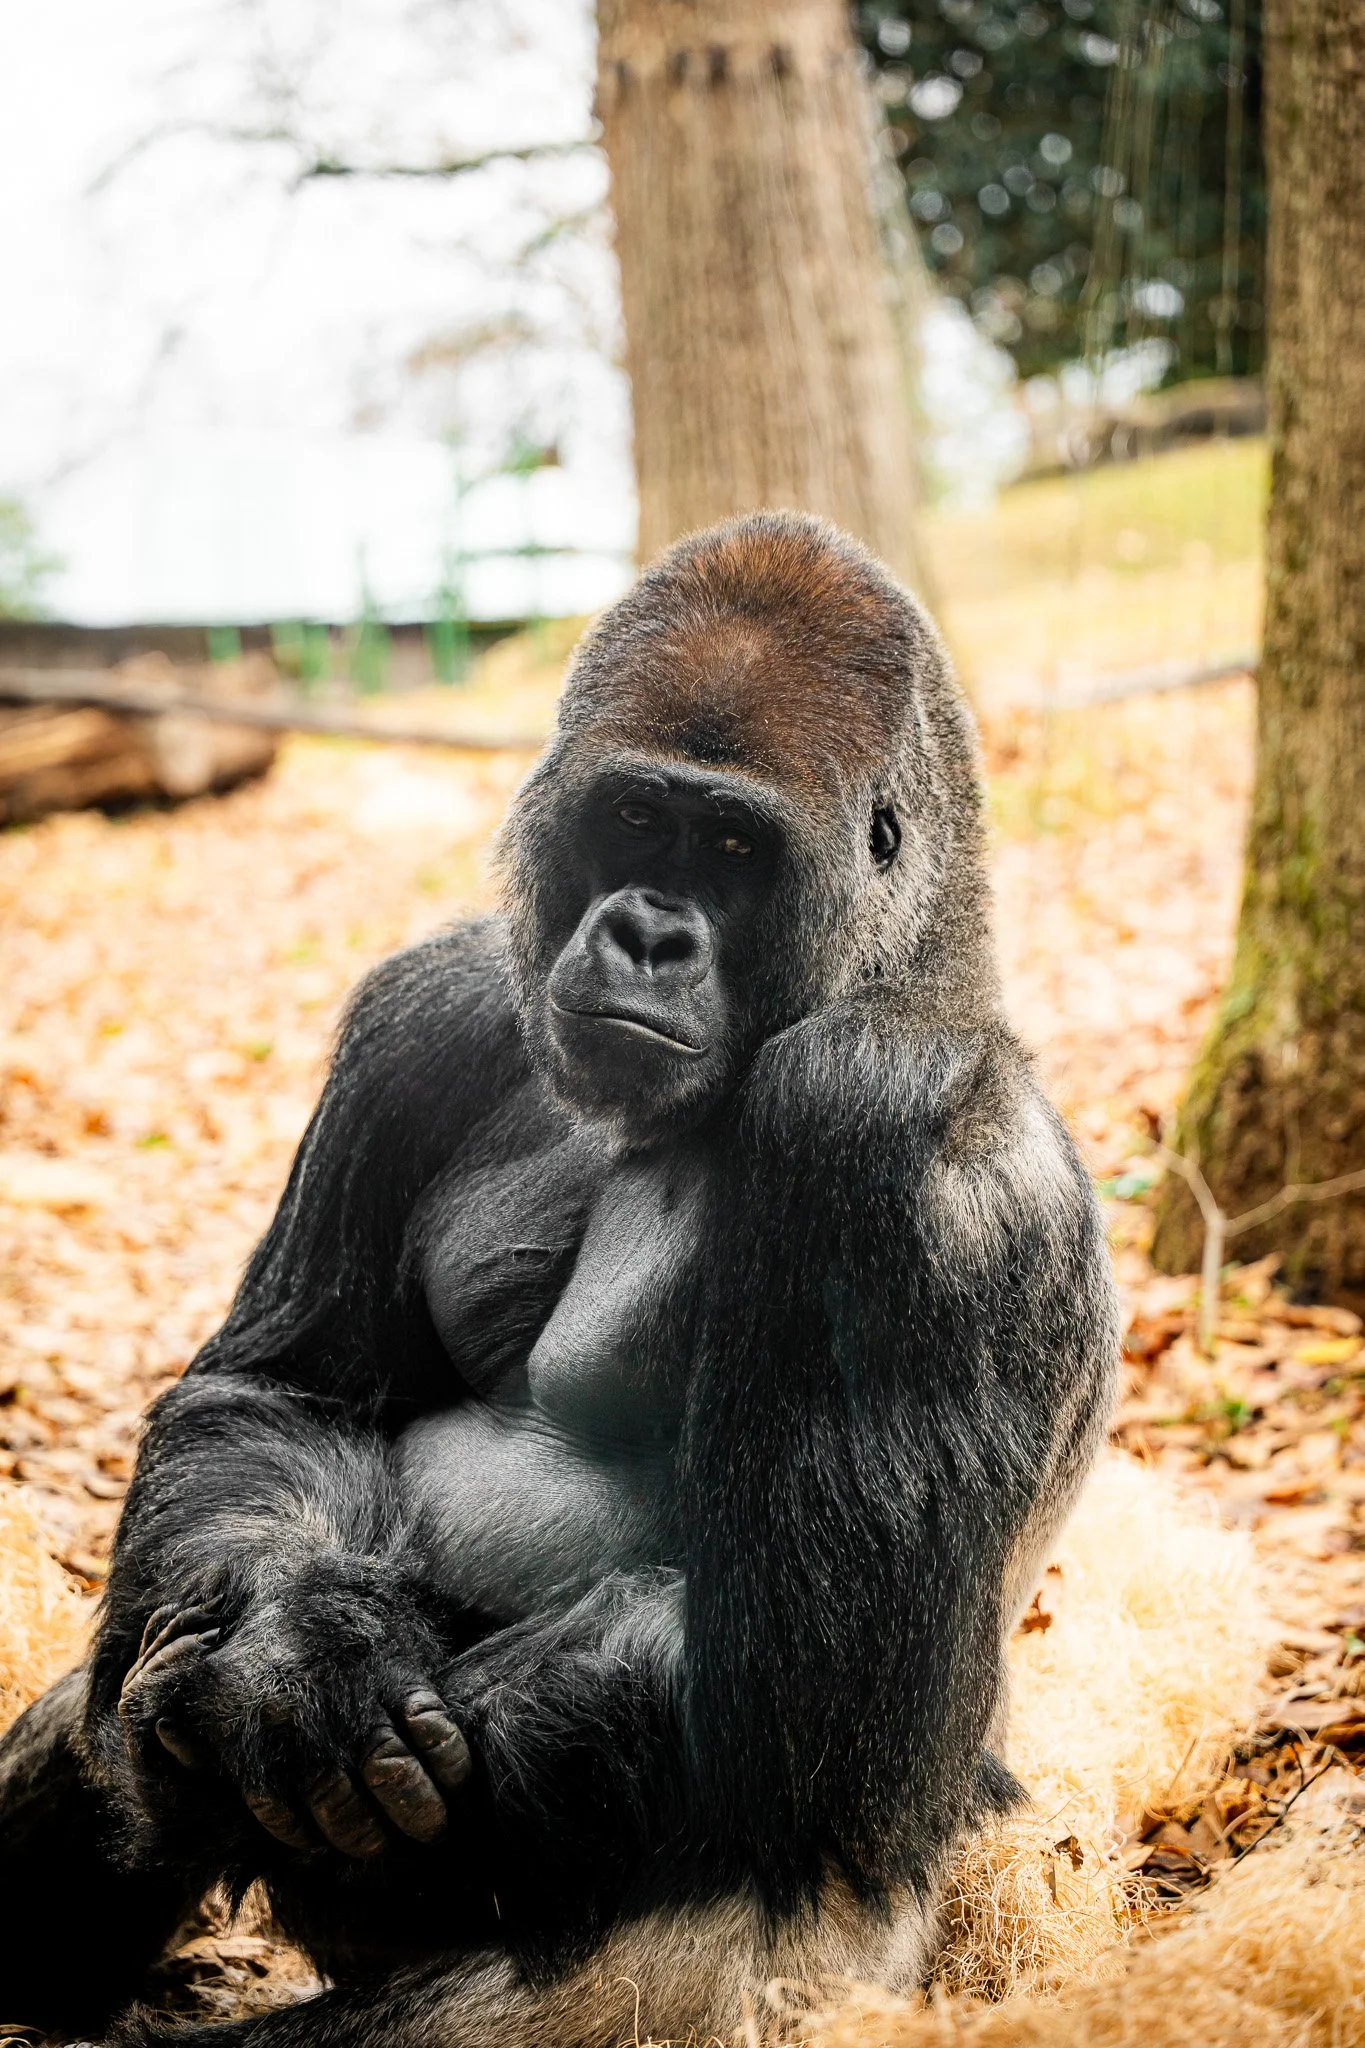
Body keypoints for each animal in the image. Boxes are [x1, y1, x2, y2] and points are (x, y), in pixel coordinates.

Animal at [0, 511, 1118, 2046]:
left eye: (732, 843)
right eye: (636, 822)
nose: (646, 931)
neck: (907, 962)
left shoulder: (889, 1119)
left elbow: (799, 1707)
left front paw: (248, 1731)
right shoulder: (431, 1010)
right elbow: (281, 1394)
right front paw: (295, 1671)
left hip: (796, 1981)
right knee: (119, 1670)